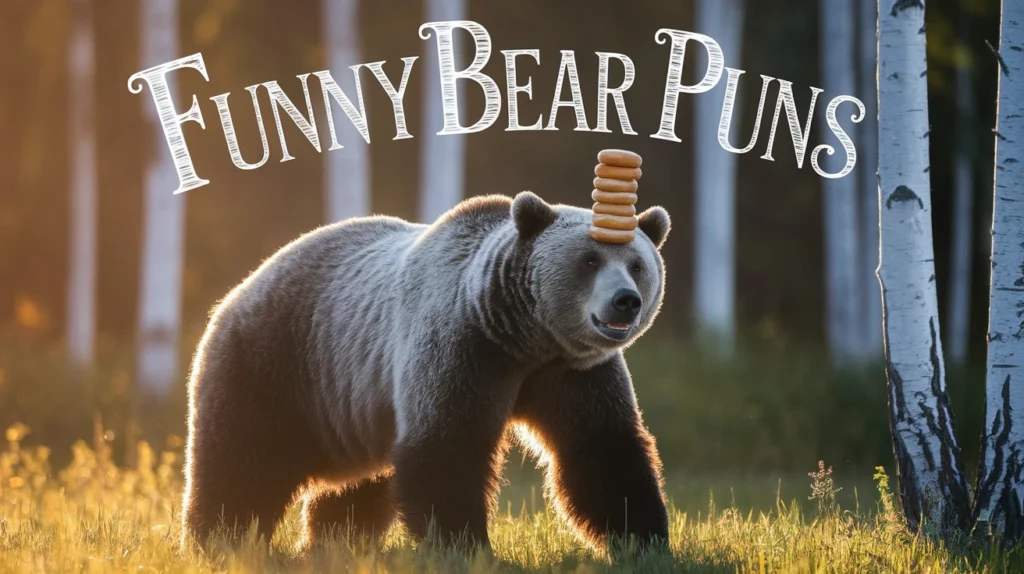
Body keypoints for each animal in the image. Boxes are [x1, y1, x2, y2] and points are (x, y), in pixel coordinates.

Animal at [181, 190, 672, 553]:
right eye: (589, 260)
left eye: (637, 264)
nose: (626, 300)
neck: (525, 337)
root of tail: (241, 286)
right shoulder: (463, 346)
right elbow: (446, 445)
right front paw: (466, 547)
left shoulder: (573, 373)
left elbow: (600, 449)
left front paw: (643, 542)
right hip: (277, 361)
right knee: (242, 458)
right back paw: (219, 540)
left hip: (353, 410)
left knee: (355, 487)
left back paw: (334, 543)